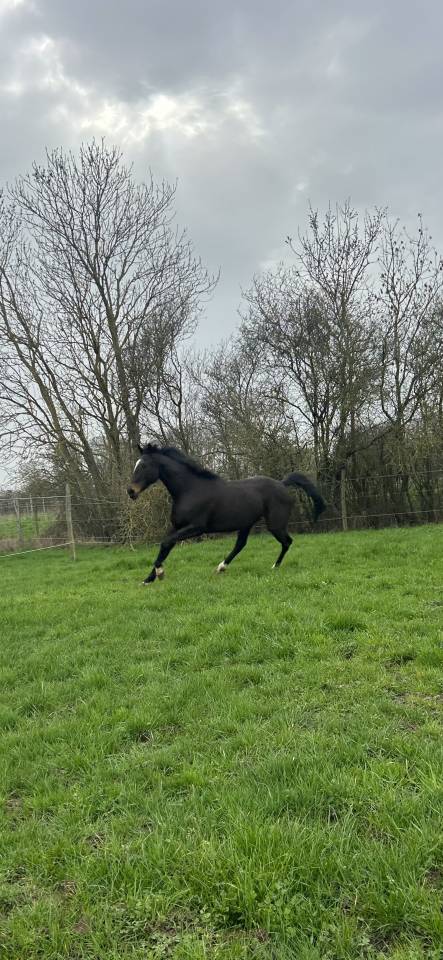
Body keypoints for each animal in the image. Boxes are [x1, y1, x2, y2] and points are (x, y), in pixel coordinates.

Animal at [127, 443, 326, 583]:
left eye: (144, 466)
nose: (131, 491)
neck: (190, 490)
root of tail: (282, 484)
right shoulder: (176, 526)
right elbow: (165, 547)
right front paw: (148, 579)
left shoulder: (197, 528)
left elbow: (165, 543)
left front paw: (160, 574)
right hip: (247, 523)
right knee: (241, 544)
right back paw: (221, 567)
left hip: (275, 524)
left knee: (287, 542)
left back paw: (274, 567)